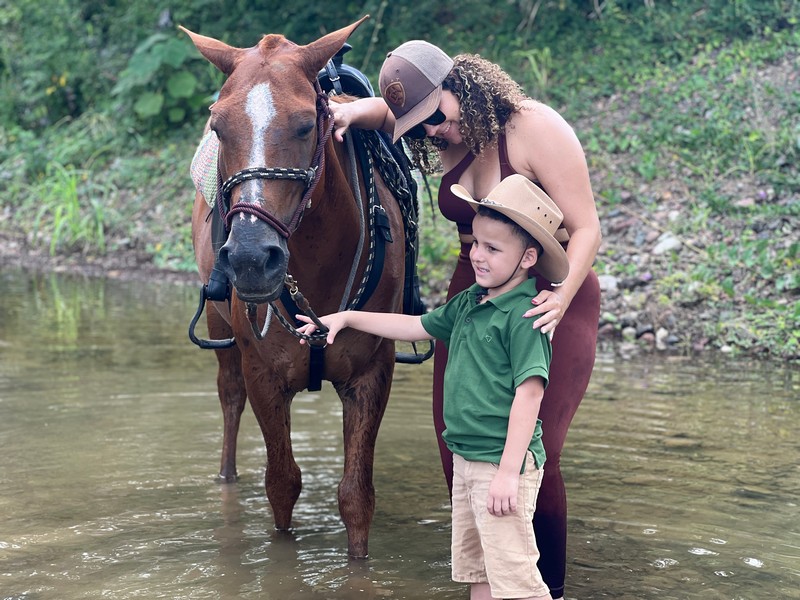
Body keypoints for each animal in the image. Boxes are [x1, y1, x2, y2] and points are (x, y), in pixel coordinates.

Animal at [182, 19, 406, 564]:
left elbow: (356, 497)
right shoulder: (263, 375)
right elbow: (282, 484)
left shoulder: (371, 374)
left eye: (306, 125)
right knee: (229, 399)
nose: (248, 257)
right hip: (221, 332)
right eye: (218, 127)